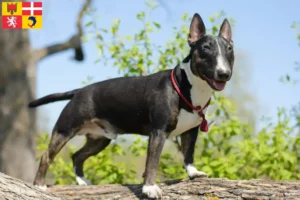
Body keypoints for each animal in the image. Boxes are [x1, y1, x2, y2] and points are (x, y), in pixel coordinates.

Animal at [28, 13, 234, 199]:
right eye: (206, 48)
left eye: (230, 49)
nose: (224, 74)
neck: (189, 87)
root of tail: (78, 91)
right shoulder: (158, 132)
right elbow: (152, 162)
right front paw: (150, 188)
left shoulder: (191, 130)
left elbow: (188, 154)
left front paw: (193, 173)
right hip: (65, 130)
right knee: (47, 156)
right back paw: (39, 185)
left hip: (99, 139)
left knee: (77, 156)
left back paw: (81, 181)